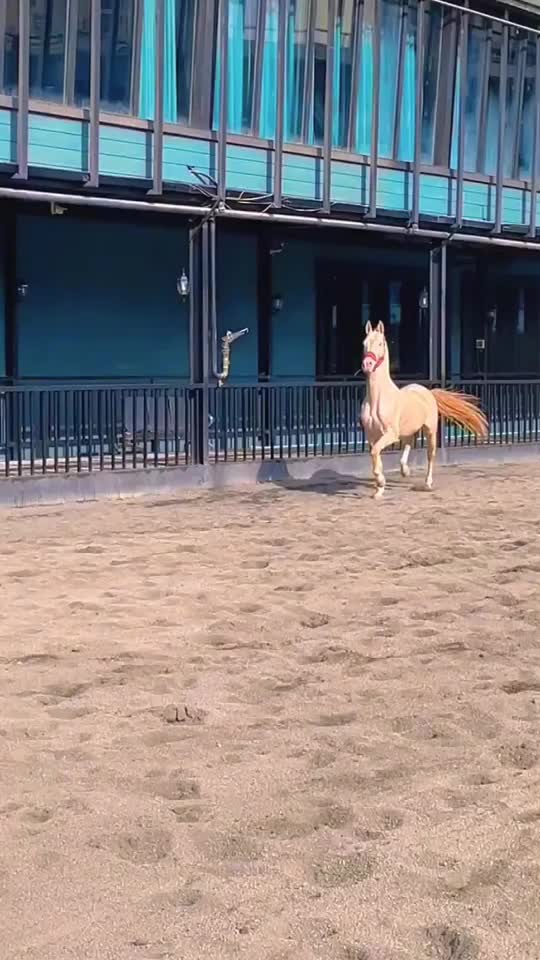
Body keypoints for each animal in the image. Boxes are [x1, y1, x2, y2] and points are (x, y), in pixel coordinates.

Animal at [360, 321, 488, 498]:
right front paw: (379, 489)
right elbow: (375, 457)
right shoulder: (371, 435)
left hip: (430, 430)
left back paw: (427, 483)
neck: (378, 399)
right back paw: (405, 470)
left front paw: (381, 483)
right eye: (364, 343)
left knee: (430, 455)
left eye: (380, 343)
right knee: (409, 443)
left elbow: (375, 454)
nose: (367, 364)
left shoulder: (390, 434)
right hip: (408, 430)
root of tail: (428, 391)